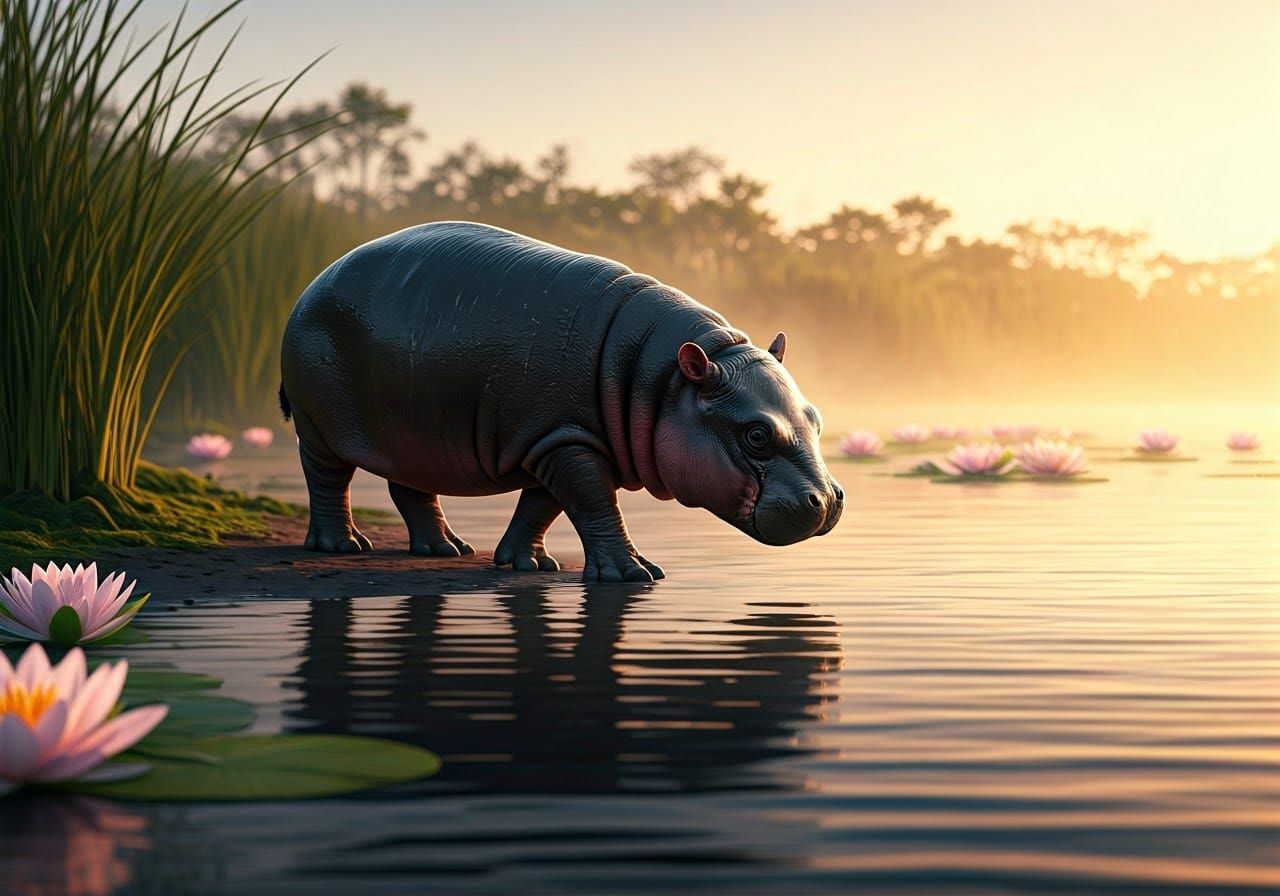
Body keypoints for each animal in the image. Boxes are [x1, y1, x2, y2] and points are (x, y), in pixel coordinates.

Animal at [279, 222, 842, 582]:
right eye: (756, 434)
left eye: (816, 417)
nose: (830, 499)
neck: (661, 380)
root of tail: (312, 284)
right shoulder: (568, 443)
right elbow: (594, 503)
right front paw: (636, 573)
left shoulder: (557, 440)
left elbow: (542, 506)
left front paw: (525, 564)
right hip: (319, 426)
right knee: (327, 479)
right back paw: (343, 545)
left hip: (413, 431)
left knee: (411, 487)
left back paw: (447, 549)